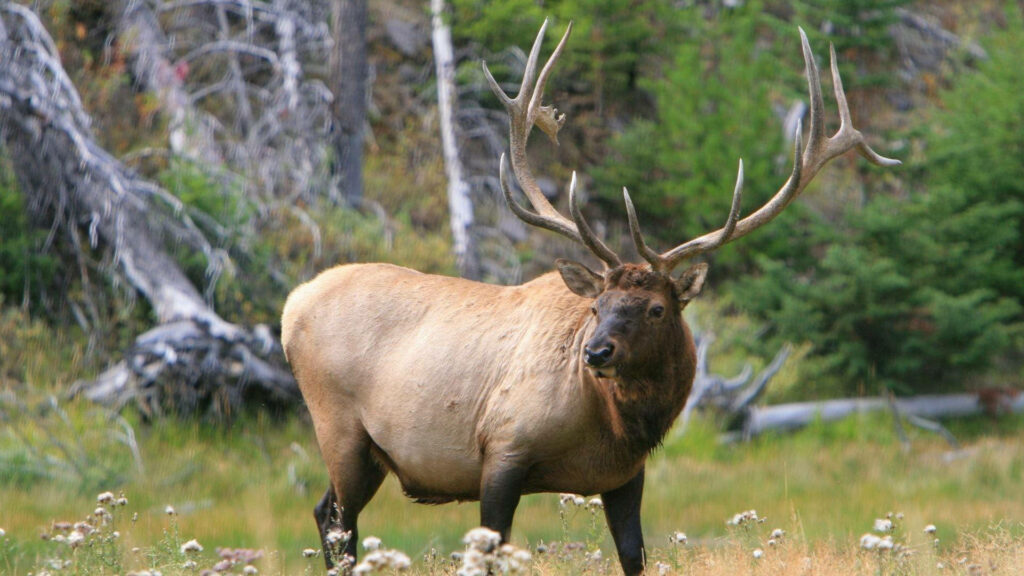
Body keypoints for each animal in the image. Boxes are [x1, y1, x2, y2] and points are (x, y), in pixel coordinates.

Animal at [280, 20, 898, 575]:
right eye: (596, 308)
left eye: (656, 308)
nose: (595, 353)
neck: (612, 426)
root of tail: (290, 307)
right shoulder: (502, 448)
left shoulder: (625, 477)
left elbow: (633, 556)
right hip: (339, 426)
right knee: (336, 520)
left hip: (368, 453)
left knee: (326, 514)